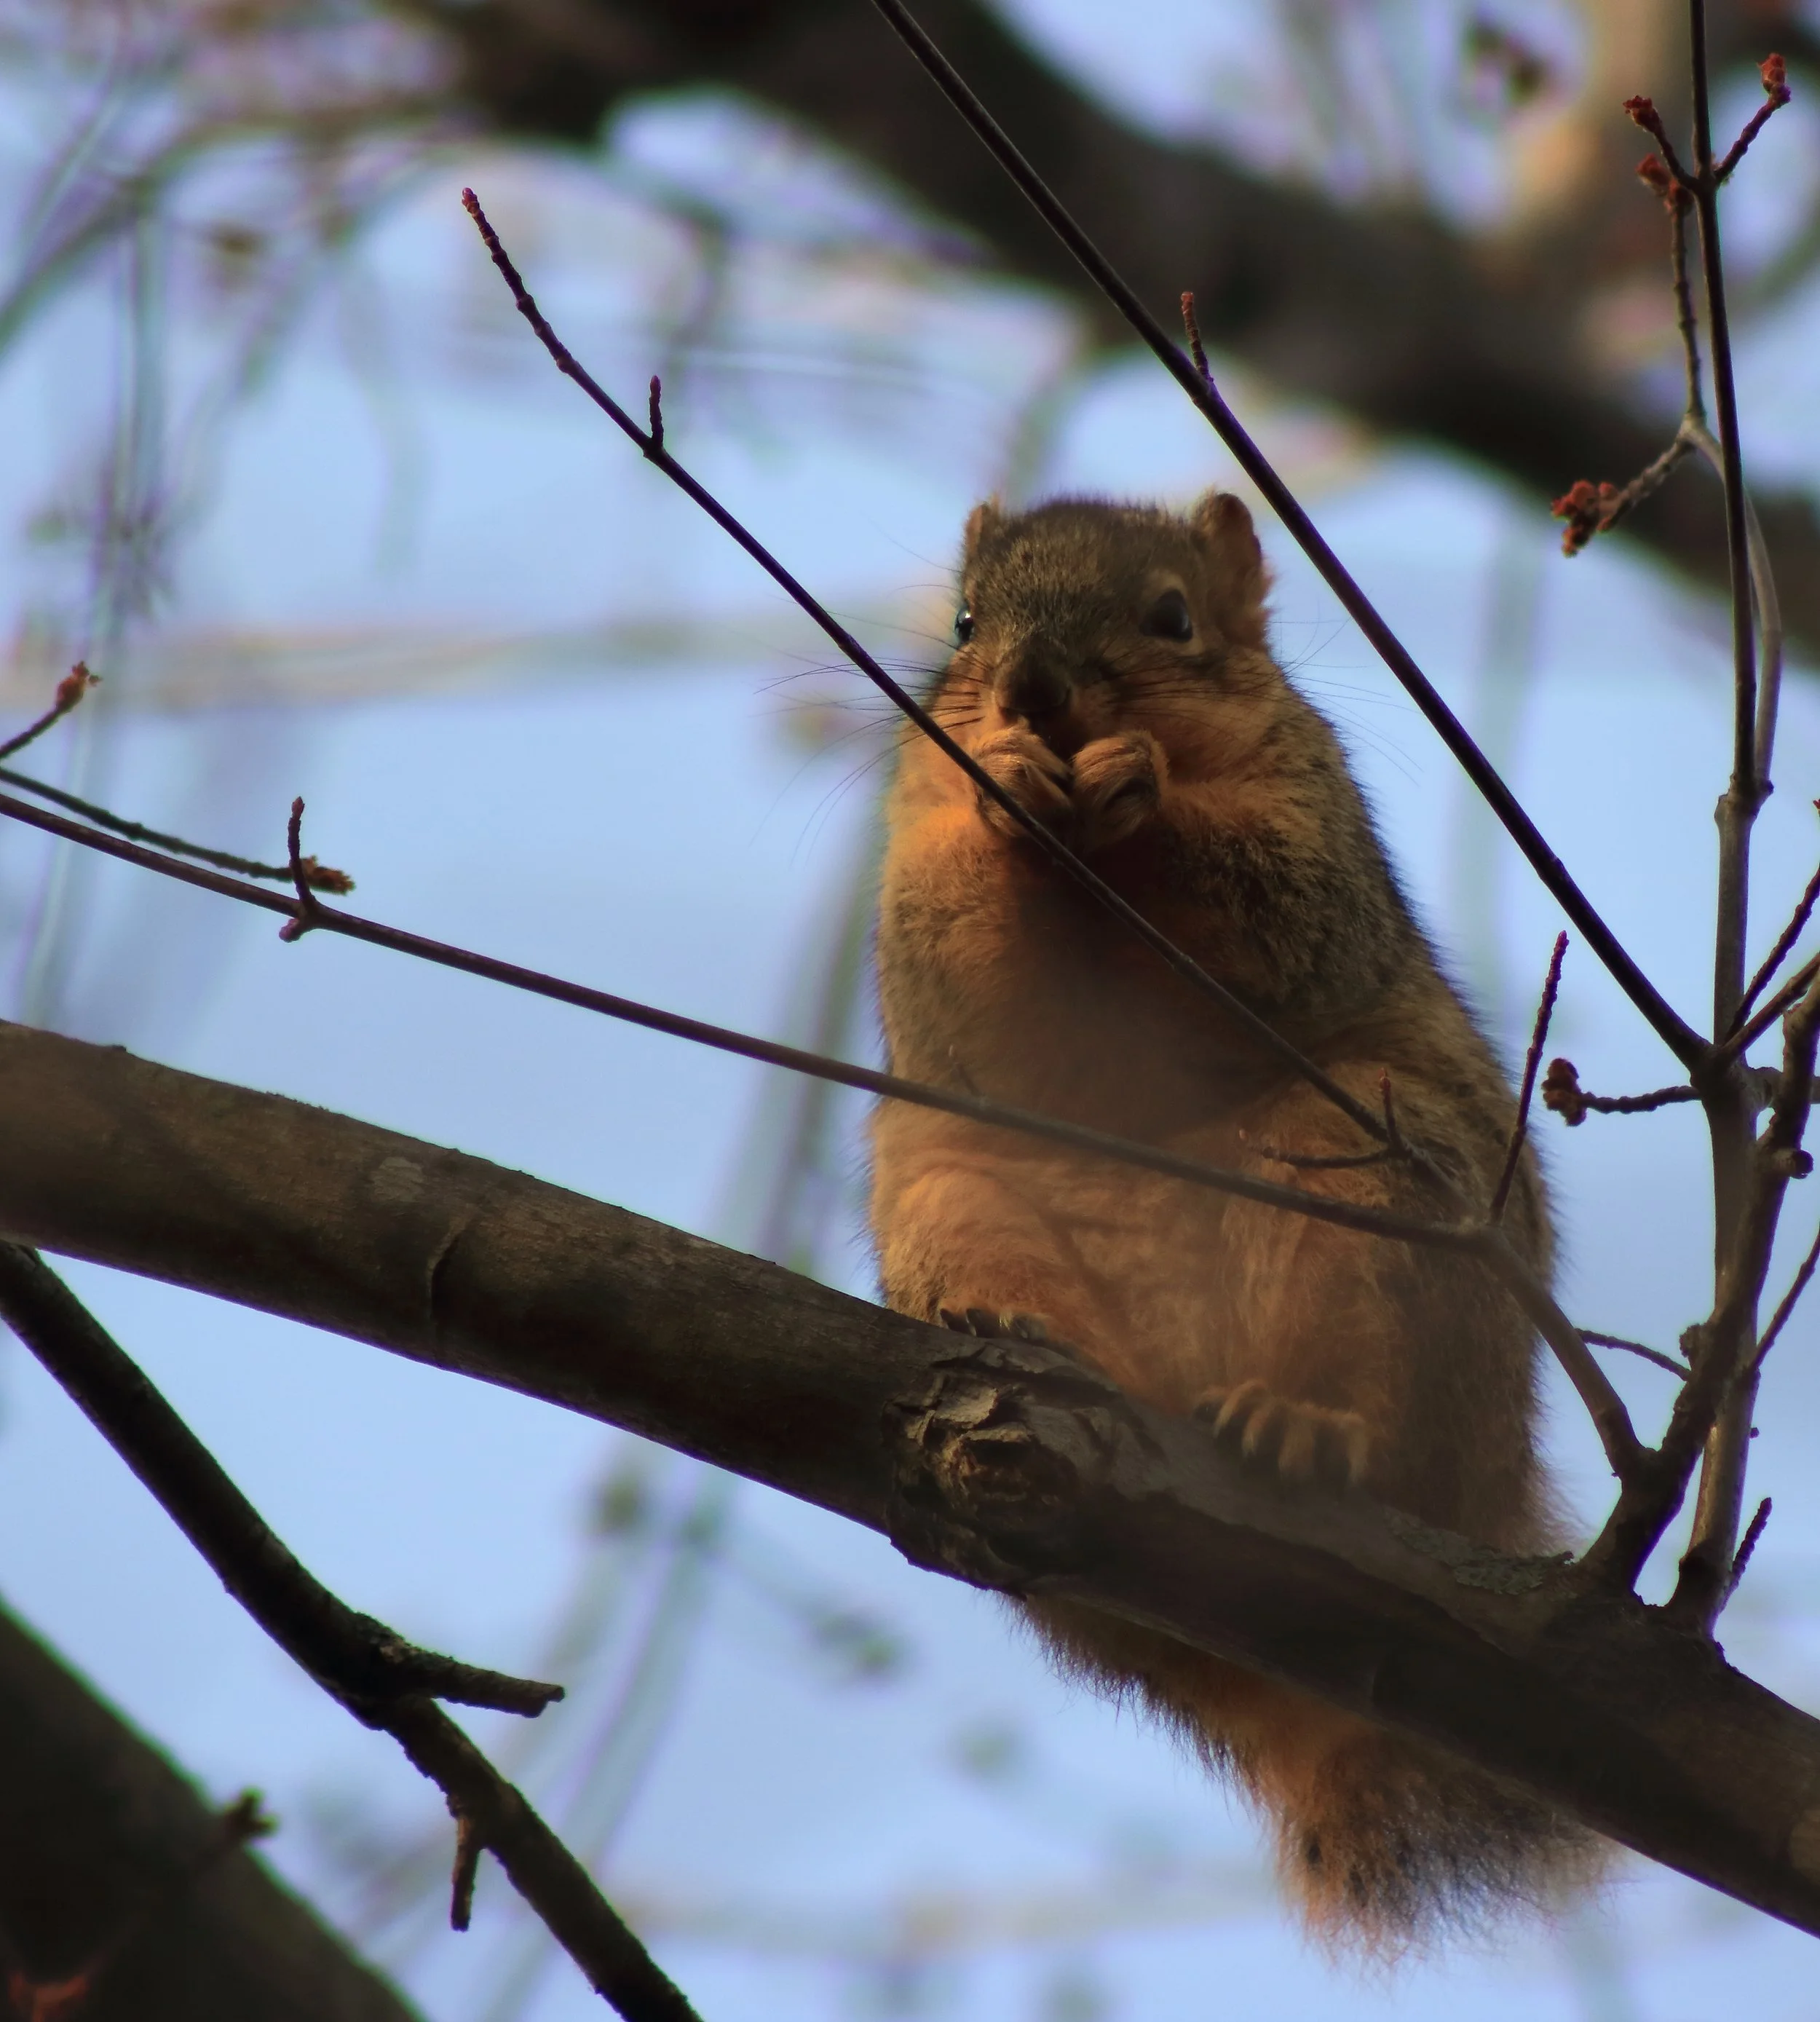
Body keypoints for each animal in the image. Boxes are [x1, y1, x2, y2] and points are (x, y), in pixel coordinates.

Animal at [867, 490, 1595, 1947]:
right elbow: (962, 977)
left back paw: (1302, 1422)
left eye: (1173, 617)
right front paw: (1007, 782)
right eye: (966, 621)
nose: (1033, 689)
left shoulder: (1309, 813)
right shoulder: (918, 829)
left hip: (1370, 1190)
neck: (1079, 875)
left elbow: (1275, 910)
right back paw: (1019, 1323)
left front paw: (1137, 781)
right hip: (946, 1187)